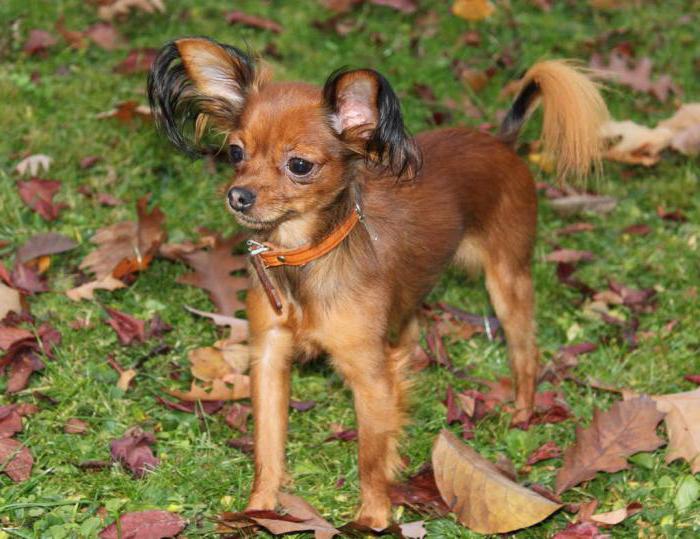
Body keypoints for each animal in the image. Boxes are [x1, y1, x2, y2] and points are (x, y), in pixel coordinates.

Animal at [146, 39, 608, 532]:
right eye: (235, 153)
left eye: (299, 165)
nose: (239, 196)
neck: (304, 257)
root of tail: (500, 141)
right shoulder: (269, 358)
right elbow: (267, 447)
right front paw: (258, 510)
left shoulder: (368, 376)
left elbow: (369, 455)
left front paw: (373, 517)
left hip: (508, 280)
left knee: (525, 351)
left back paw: (522, 411)